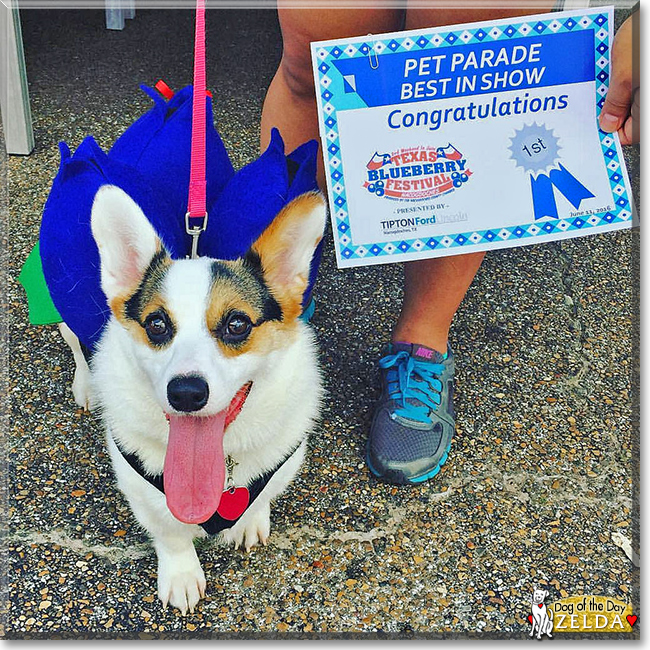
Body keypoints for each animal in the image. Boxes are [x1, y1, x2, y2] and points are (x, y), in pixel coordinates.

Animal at [62, 185, 324, 612]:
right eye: (156, 324)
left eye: (237, 324)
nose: (186, 393)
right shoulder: (143, 492)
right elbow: (171, 534)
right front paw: (181, 575)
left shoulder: (283, 461)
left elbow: (262, 496)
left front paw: (250, 521)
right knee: (74, 342)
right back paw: (87, 384)